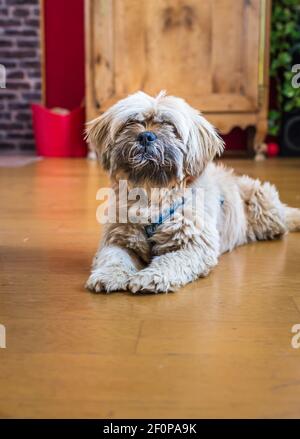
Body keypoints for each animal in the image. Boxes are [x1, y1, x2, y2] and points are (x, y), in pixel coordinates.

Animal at [84, 91, 300, 294]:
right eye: (131, 122)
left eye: (169, 125)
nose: (146, 136)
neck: (153, 193)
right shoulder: (118, 239)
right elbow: (114, 257)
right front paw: (108, 275)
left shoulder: (194, 246)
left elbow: (170, 261)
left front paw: (151, 277)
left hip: (263, 206)